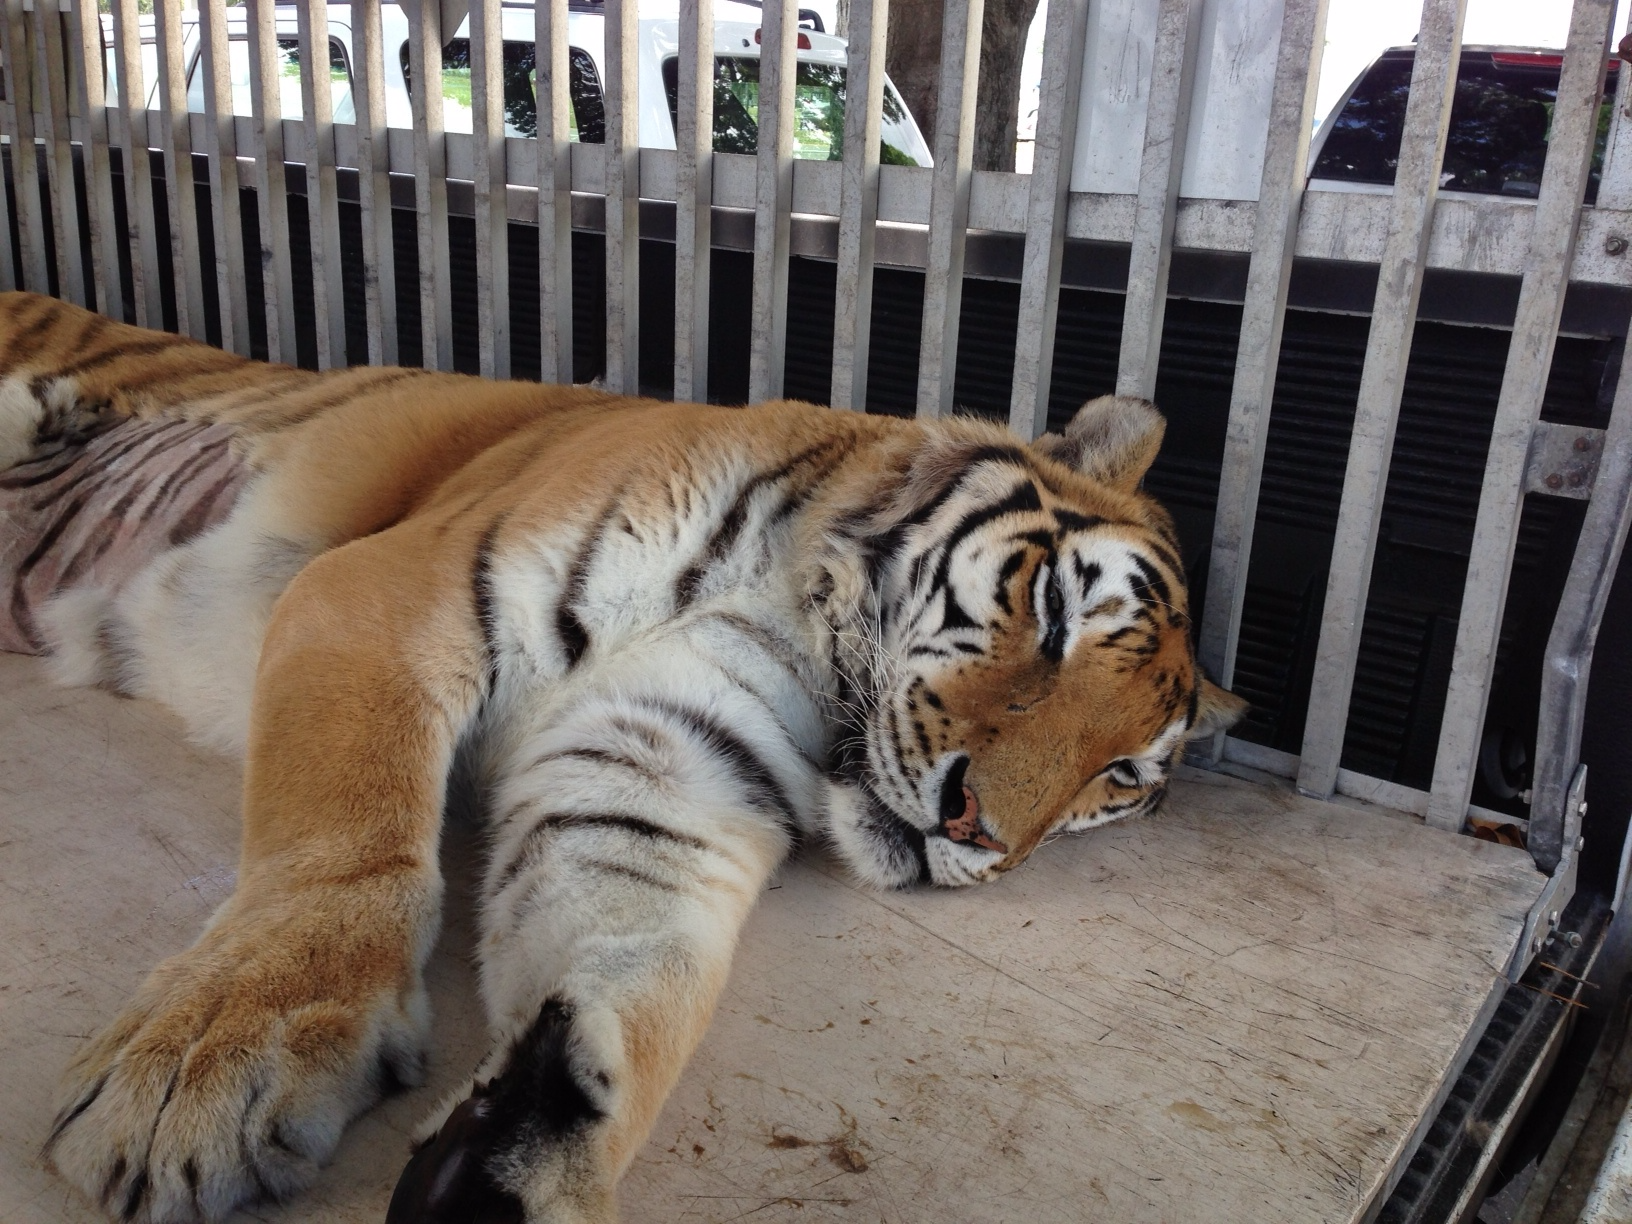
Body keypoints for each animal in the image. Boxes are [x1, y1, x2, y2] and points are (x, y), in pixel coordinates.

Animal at [0, 290, 1245, 1224]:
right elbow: (345, 832)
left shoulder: (668, 750)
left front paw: (532, 1141)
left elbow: (638, 938)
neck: (794, 614)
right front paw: (213, 1059)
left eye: (1120, 776)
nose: (973, 830)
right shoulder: (391, 589)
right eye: (1054, 614)